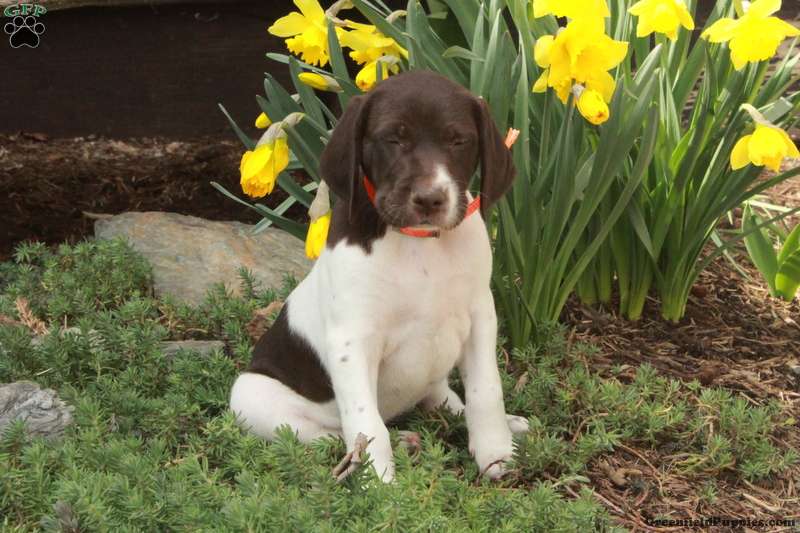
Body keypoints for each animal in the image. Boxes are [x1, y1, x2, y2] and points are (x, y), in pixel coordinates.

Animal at [230, 70, 528, 482]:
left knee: (441, 396)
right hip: (251, 394)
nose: (430, 199)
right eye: (393, 139)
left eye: (458, 141)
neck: (420, 243)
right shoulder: (352, 341)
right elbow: (365, 424)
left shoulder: (480, 316)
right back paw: (390, 445)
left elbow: (486, 390)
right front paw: (381, 484)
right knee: (324, 435)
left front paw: (496, 452)